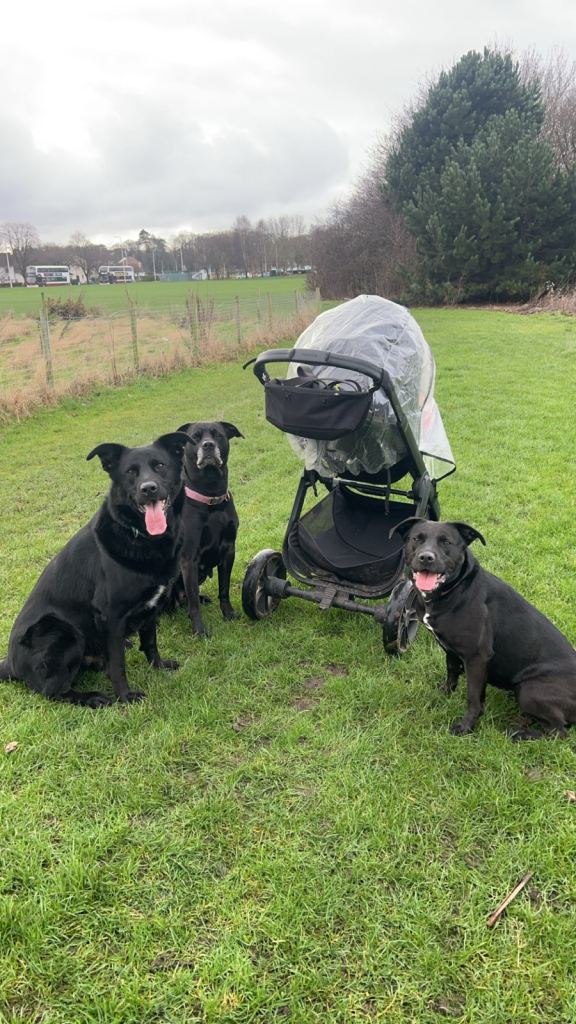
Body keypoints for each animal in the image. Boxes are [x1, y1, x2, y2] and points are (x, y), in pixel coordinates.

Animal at [0, 432, 191, 707]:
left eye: (160, 466)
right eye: (130, 472)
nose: (148, 488)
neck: (140, 536)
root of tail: (10, 664)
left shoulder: (152, 608)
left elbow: (150, 641)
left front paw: (159, 666)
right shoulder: (111, 616)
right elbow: (118, 665)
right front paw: (125, 696)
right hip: (62, 632)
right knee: (53, 691)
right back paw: (93, 697)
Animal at [172, 420, 243, 636]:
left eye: (218, 435)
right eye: (195, 437)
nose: (208, 445)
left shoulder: (228, 550)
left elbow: (224, 589)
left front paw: (228, 613)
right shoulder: (189, 559)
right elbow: (193, 602)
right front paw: (199, 631)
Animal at [391, 518, 576, 739]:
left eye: (446, 542)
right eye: (416, 539)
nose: (426, 557)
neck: (455, 589)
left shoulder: (477, 657)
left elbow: (473, 697)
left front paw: (466, 727)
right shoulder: (451, 649)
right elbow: (452, 672)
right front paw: (446, 693)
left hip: (528, 690)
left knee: (559, 731)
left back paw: (519, 734)